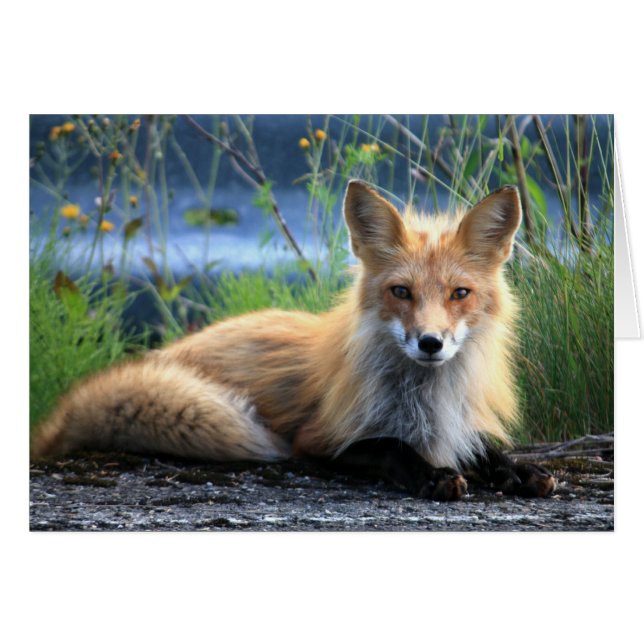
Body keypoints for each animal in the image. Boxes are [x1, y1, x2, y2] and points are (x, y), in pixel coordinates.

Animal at [31, 180, 556, 501]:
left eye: (459, 294)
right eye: (401, 292)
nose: (430, 343)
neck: (426, 398)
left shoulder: (459, 421)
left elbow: (483, 446)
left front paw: (518, 469)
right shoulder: (320, 439)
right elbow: (392, 446)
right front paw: (434, 473)